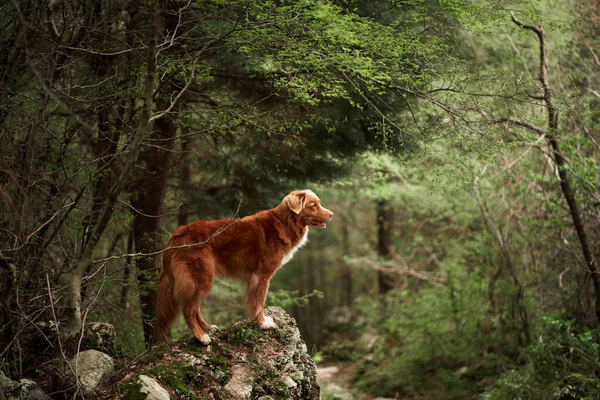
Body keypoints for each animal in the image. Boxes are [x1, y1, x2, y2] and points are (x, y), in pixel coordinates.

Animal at [156, 190, 332, 344]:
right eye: (313, 205)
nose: (331, 214)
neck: (284, 223)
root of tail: (177, 234)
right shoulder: (262, 276)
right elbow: (259, 302)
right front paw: (263, 323)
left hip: (200, 280)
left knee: (195, 308)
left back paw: (207, 328)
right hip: (202, 278)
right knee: (188, 310)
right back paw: (201, 335)